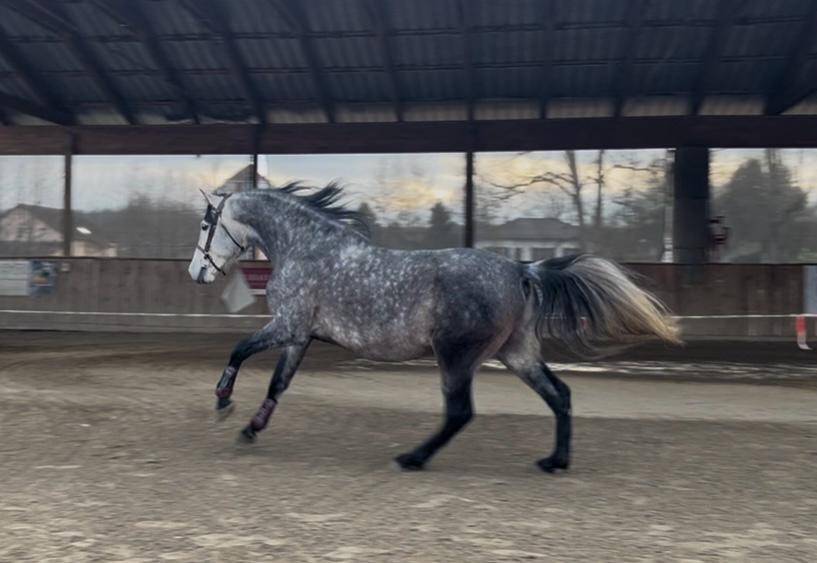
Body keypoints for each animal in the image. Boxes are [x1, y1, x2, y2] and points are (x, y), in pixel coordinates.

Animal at [188, 183, 680, 472]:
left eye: (207, 223)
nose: (197, 273)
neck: (306, 248)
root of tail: (521, 270)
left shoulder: (287, 326)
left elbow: (239, 349)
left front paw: (223, 401)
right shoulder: (300, 335)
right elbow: (278, 383)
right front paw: (250, 428)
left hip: (456, 356)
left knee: (460, 412)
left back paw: (413, 457)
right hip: (516, 352)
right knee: (559, 395)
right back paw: (554, 461)